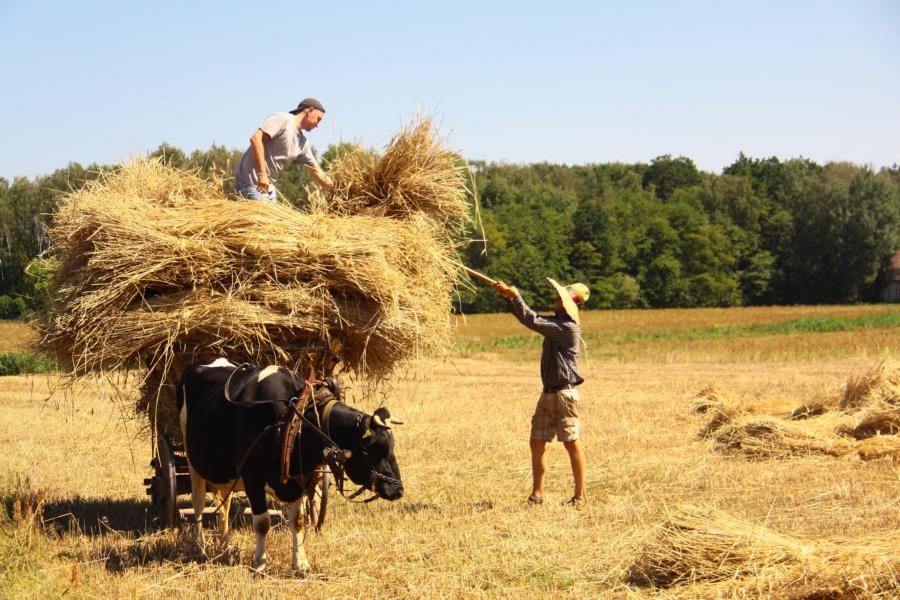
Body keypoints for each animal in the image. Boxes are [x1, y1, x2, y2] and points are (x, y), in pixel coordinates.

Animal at [178, 356, 402, 572]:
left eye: (392, 446)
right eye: (377, 448)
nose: (398, 490)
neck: (291, 420)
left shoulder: (299, 478)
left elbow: (299, 521)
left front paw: (300, 562)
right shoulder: (253, 477)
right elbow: (262, 522)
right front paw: (260, 562)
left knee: (224, 504)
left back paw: (225, 543)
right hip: (192, 461)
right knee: (198, 503)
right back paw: (199, 545)